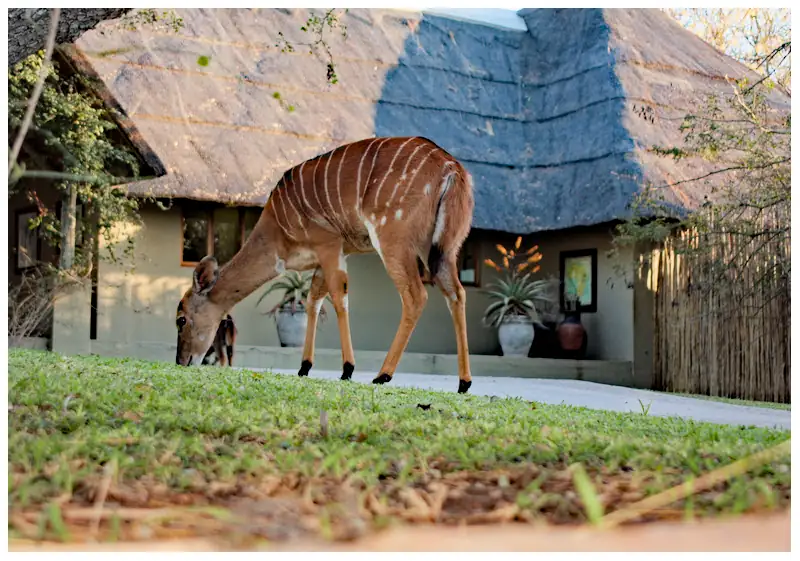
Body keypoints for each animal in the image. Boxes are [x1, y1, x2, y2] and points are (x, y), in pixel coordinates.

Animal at [175, 135, 476, 392]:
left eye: (181, 319)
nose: (182, 361)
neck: (276, 232)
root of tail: (453, 170)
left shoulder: (329, 244)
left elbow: (339, 298)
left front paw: (347, 369)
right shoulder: (326, 257)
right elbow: (313, 301)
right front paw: (304, 367)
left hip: (394, 238)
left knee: (416, 295)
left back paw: (382, 375)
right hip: (443, 249)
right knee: (456, 293)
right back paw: (463, 383)